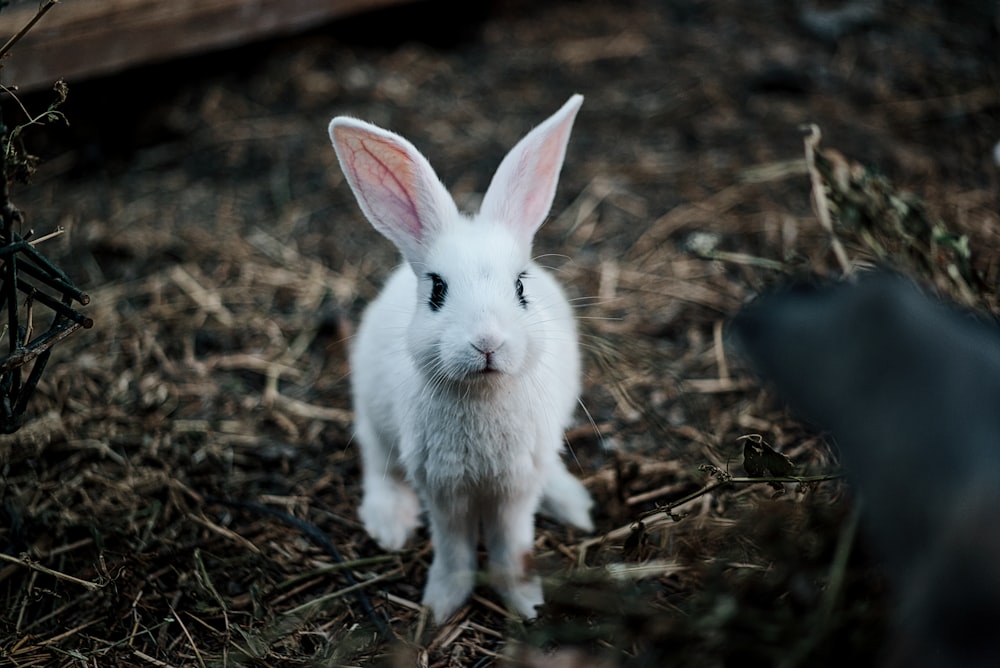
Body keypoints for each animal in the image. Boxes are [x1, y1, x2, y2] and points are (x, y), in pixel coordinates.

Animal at [328, 94, 592, 620]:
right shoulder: (443, 490)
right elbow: (453, 548)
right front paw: (442, 605)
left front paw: (524, 602)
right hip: (374, 420)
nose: (487, 342)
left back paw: (573, 504)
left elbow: (511, 542)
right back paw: (390, 525)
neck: (484, 393)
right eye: (437, 290)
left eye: (521, 286)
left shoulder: (514, 490)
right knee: (378, 463)